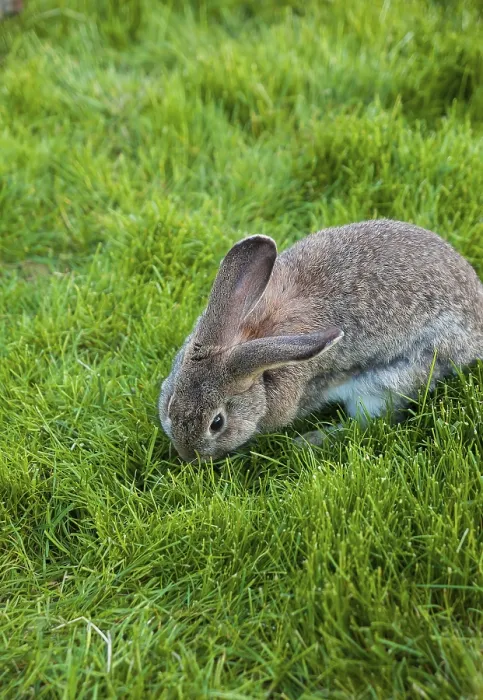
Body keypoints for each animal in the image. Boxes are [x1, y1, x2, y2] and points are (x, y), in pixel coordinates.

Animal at [159, 219, 483, 460]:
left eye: (217, 423)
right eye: (171, 401)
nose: (188, 456)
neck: (251, 338)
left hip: (388, 381)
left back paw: (309, 440)